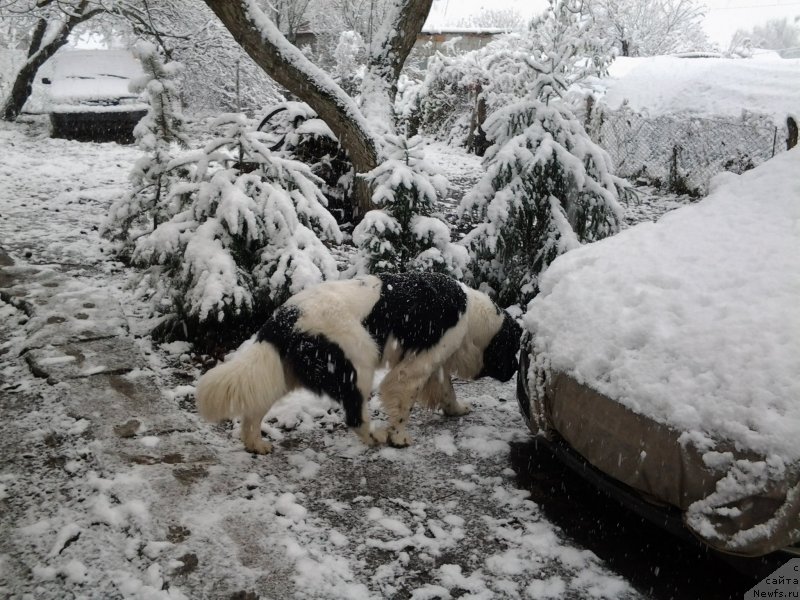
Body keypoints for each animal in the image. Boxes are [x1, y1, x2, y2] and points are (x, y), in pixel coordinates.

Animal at [197, 270, 520, 452]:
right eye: (512, 350)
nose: (517, 369)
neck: (472, 315)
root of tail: (283, 319)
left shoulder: (433, 361)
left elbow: (446, 389)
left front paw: (457, 410)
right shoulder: (413, 367)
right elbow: (404, 403)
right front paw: (398, 437)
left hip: (285, 371)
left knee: (255, 408)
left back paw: (256, 445)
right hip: (359, 357)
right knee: (354, 416)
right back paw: (375, 437)